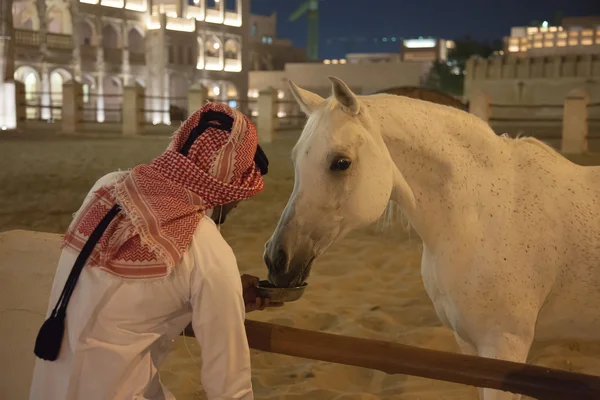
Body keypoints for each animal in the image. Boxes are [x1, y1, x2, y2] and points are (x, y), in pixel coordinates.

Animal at [264, 76, 600, 398]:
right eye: (295, 159)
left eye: (341, 162)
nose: (276, 259)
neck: (483, 217)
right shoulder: (469, 345)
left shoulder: (504, 346)